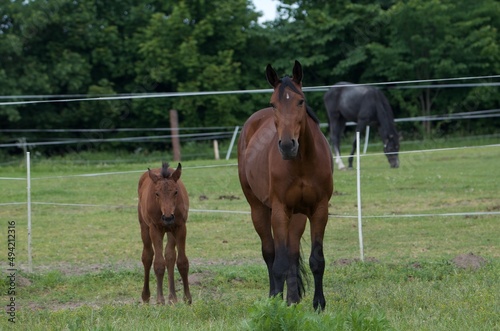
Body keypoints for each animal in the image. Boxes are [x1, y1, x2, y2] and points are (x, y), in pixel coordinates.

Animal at [137, 163, 191, 306]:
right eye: (157, 193)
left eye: (176, 192)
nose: (167, 217)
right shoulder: (155, 229)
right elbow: (159, 264)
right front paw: (160, 300)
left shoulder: (180, 227)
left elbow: (182, 262)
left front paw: (187, 298)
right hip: (144, 227)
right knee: (147, 256)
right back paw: (146, 296)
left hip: (171, 230)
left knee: (170, 255)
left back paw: (172, 297)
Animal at [237, 60, 334, 312]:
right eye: (274, 104)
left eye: (301, 101)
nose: (288, 145)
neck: (301, 163)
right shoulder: (280, 211)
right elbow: (278, 262)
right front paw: (277, 305)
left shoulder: (319, 210)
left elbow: (316, 259)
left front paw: (318, 304)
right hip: (259, 209)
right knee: (270, 253)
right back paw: (275, 296)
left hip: (297, 215)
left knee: (291, 252)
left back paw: (293, 298)